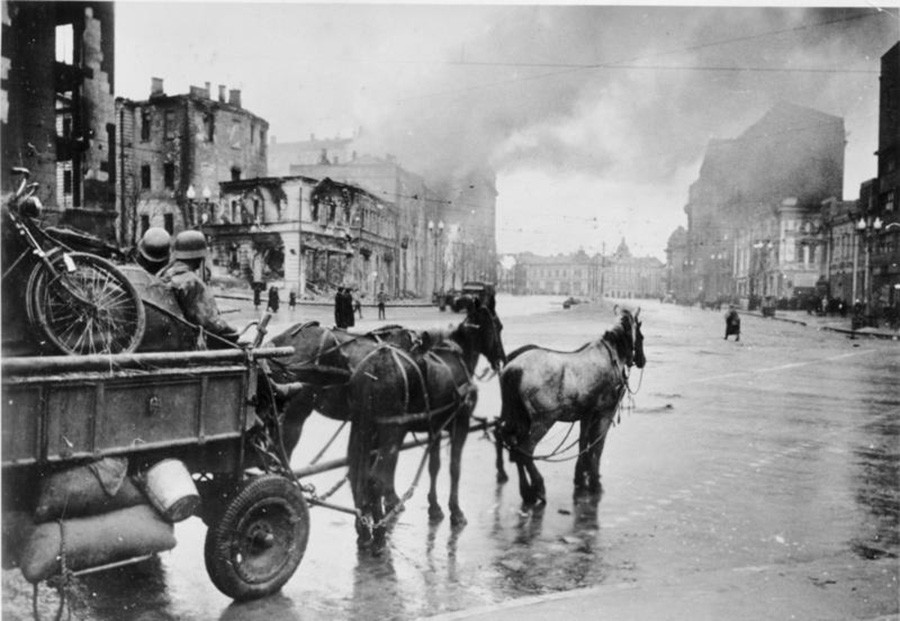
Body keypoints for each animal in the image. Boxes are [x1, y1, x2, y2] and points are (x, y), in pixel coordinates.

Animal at [346, 302, 506, 544]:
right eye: (498, 326)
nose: (501, 359)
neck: (456, 357)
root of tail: (374, 367)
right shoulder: (460, 424)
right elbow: (454, 467)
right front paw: (455, 511)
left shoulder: (435, 428)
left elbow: (434, 466)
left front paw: (435, 507)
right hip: (391, 431)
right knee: (375, 479)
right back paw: (380, 531)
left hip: (363, 427)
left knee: (358, 474)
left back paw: (364, 529)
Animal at [496, 304, 644, 504]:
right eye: (641, 336)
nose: (642, 360)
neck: (611, 357)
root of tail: (513, 368)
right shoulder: (605, 413)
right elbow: (597, 445)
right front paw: (594, 481)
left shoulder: (586, 415)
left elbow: (583, 444)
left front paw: (581, 477)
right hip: (543, 421)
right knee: (525, 449)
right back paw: (538, 487)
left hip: (518, 418)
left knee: (513, 445)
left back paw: (526, 491)